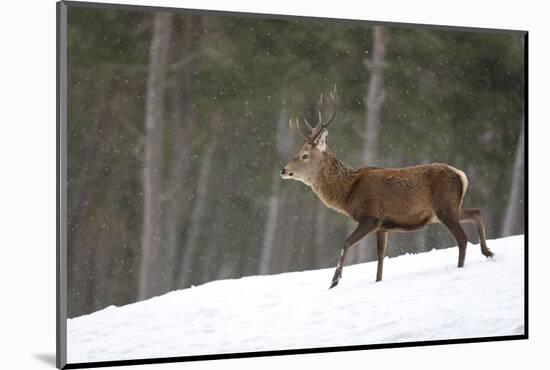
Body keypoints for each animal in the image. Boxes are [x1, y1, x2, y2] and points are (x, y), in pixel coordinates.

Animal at [280, 86, 496, 290]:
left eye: (305, 155)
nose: (283, 170)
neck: (348, 194)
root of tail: (461, 175)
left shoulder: (371, 217)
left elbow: (346, 242)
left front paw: (334, 280)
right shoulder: (383, 226)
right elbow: (380, 257)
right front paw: (377, 281)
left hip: (444, 206)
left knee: (462, 238)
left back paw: (461, 267)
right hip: (448, 209)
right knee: (476, 212)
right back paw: (488, 252)